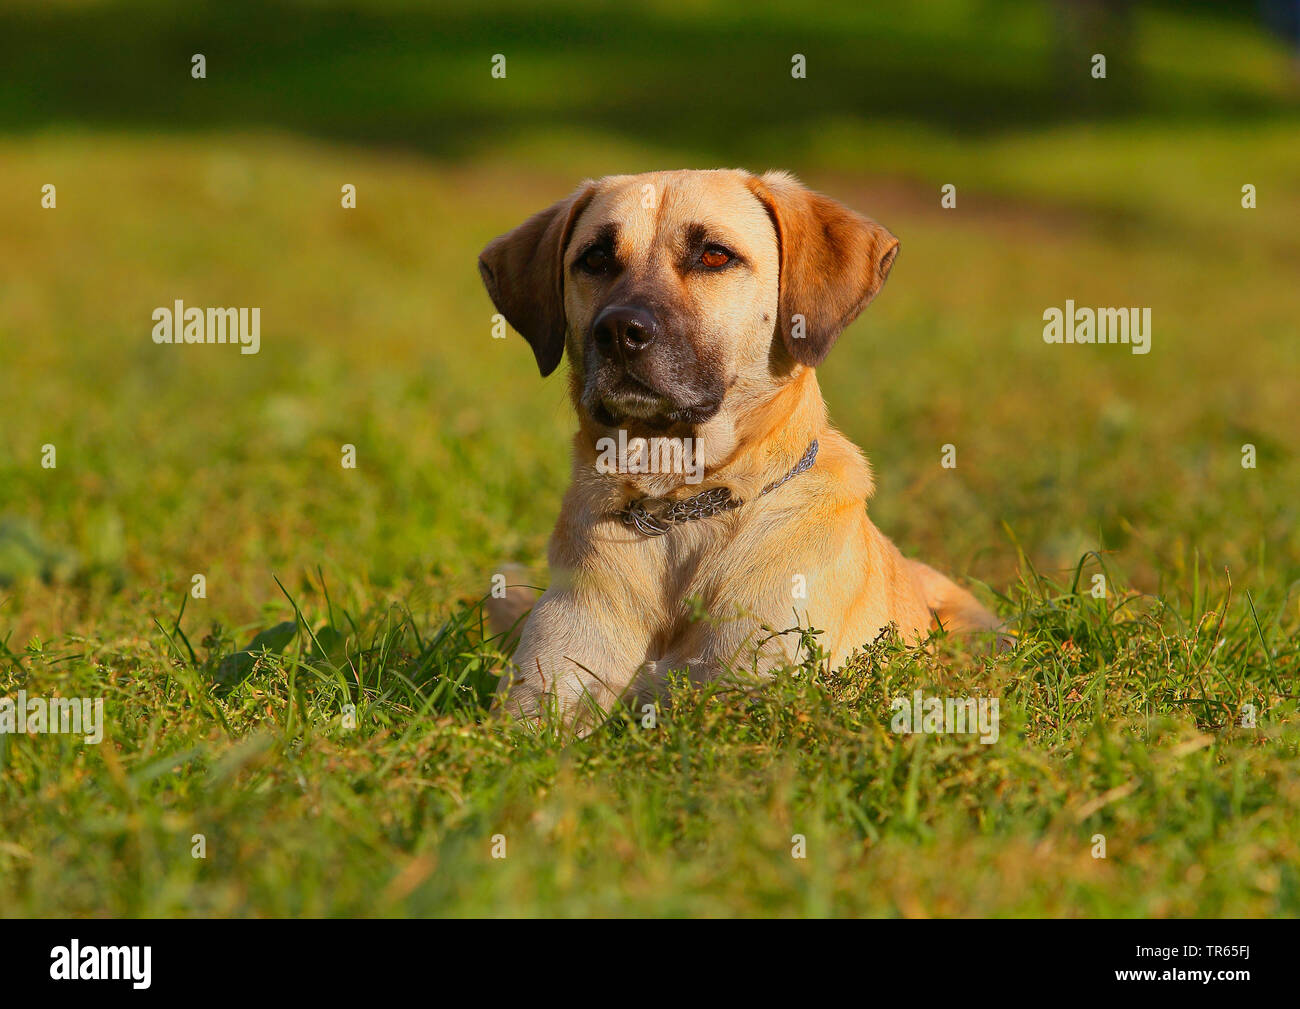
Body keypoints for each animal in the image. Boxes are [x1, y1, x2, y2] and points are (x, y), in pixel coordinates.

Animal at [483, 169, 998, 728]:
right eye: (595, 258)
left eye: (714, 255)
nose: (619, 331)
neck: (678, 507)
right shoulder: (539, 701)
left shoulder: (754, 699)